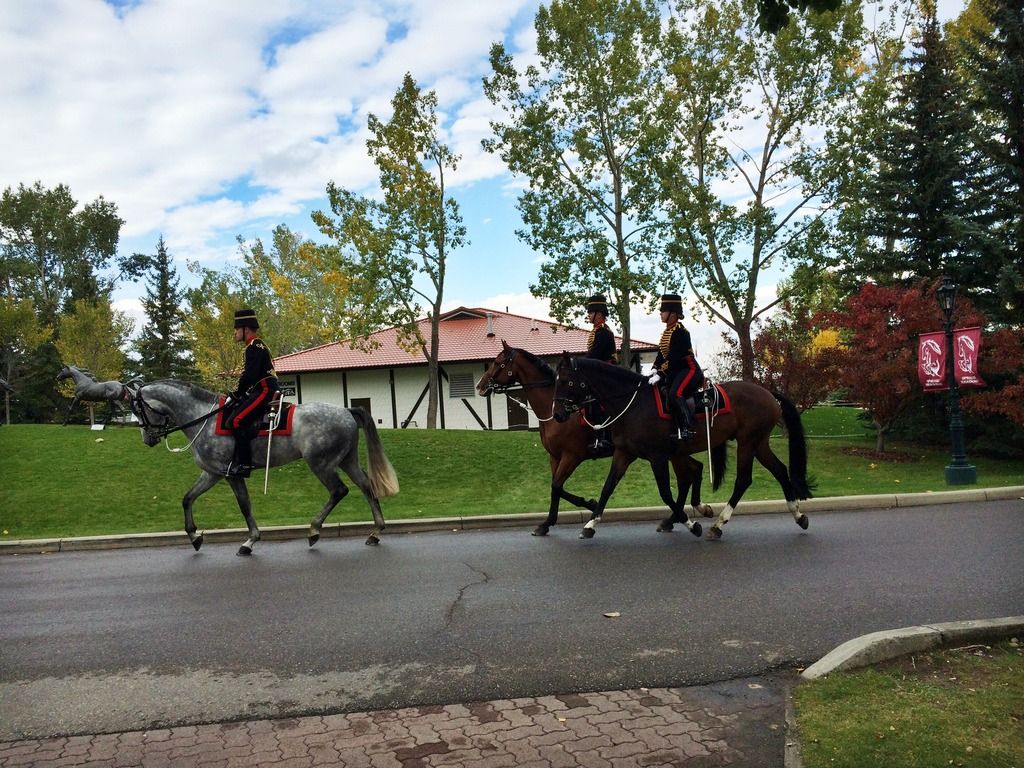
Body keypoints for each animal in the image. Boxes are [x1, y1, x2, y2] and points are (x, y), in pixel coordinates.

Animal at [129, 380, 399, 557]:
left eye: (138, 409)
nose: (147, 438)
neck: (204, 418)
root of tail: (345, 410)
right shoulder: (212, 474)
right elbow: (187, 498)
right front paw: (195, 537)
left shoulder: (231, 474)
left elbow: (244, 505)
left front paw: (250, 541)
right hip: (346, 460)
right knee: (366, 486)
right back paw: (375, 532)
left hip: (321, 464)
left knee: (339, 491)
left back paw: (314, 530)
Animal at [475, 342, 708, 540]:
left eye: (498, 362)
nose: (480, 386)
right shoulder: (555, 457)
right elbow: (556, 488)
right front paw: (553, 520)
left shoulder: (572, 456)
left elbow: (556, 486)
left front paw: (586, 506)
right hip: (675, 453)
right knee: (693, 471)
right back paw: (686, 514)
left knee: (686, 477)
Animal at [557, 354, 811, 540]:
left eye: (566, 381)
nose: (558, 413)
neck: (632, 404)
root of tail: (767, 393)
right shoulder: (624, 454)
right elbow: (608, 487)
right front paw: (591, 524)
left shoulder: (657, 456)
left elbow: (665, 492)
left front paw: (691, 524)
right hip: (758, 442)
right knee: (780, 470)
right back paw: (798, 516)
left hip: (748, 442)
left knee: (742, 480)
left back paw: (717, 525)